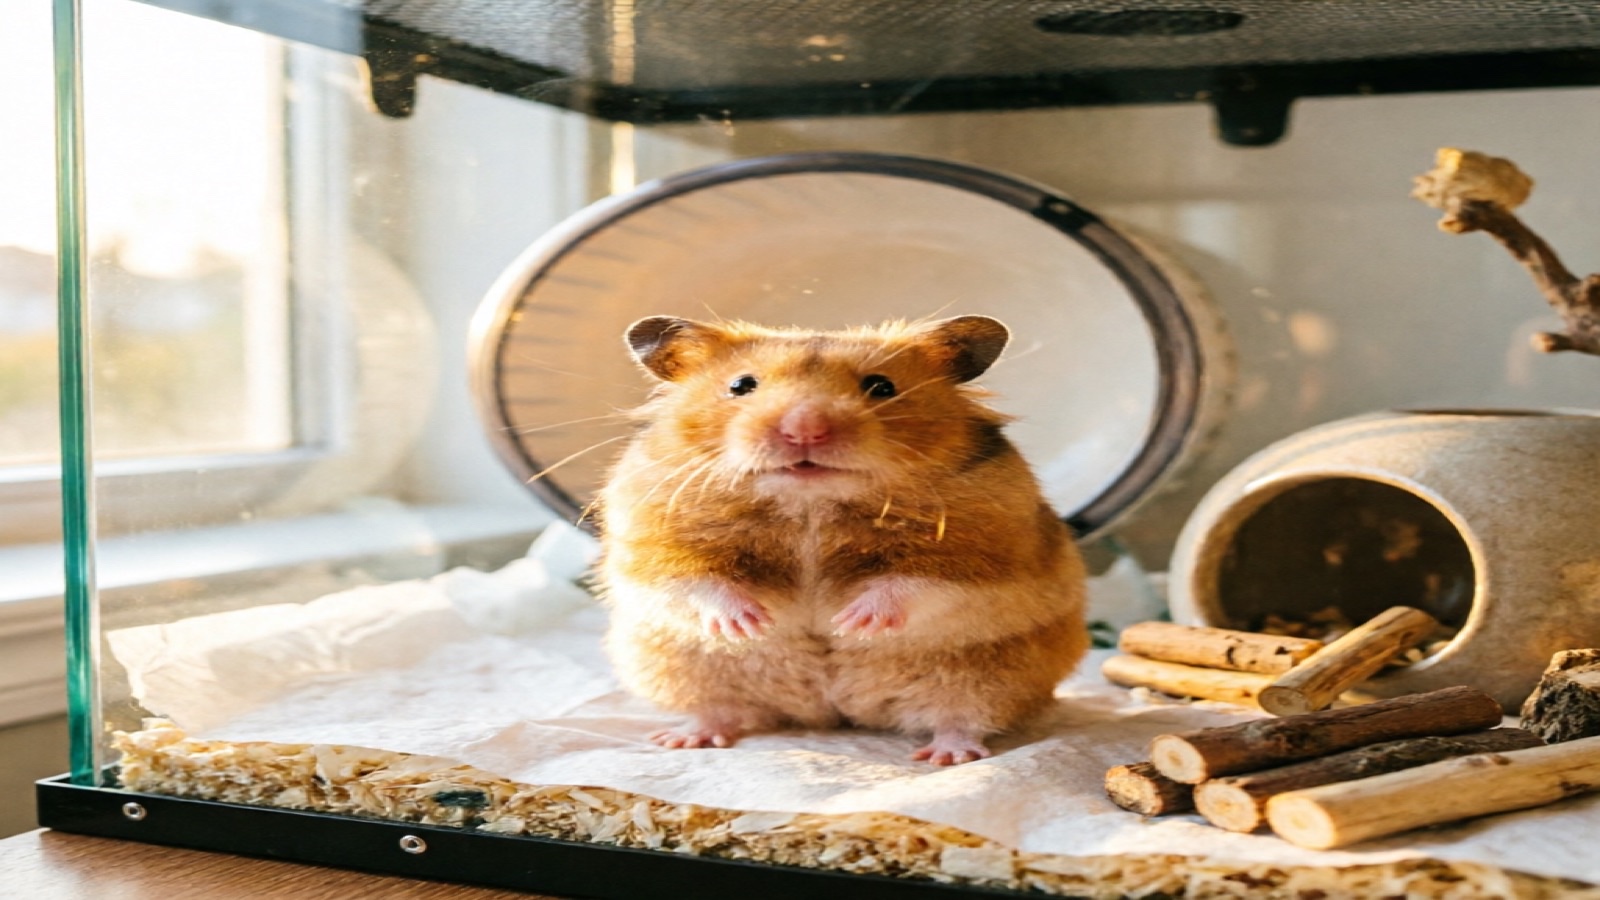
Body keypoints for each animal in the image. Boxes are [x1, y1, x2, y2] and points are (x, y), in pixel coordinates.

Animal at [597, 315, 1088, 765]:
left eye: (882, 386)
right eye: (741, 385)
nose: (804, 430)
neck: (810, 503)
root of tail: (835, 711)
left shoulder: (981, 550)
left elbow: (915, 583)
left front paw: (849, 623)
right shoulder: (651, 541)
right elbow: (696, 581)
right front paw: (751, 624)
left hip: (990, 674)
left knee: (962, 716)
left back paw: (947, 755)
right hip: (681, 668)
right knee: (722, 709)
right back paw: (685, 738)